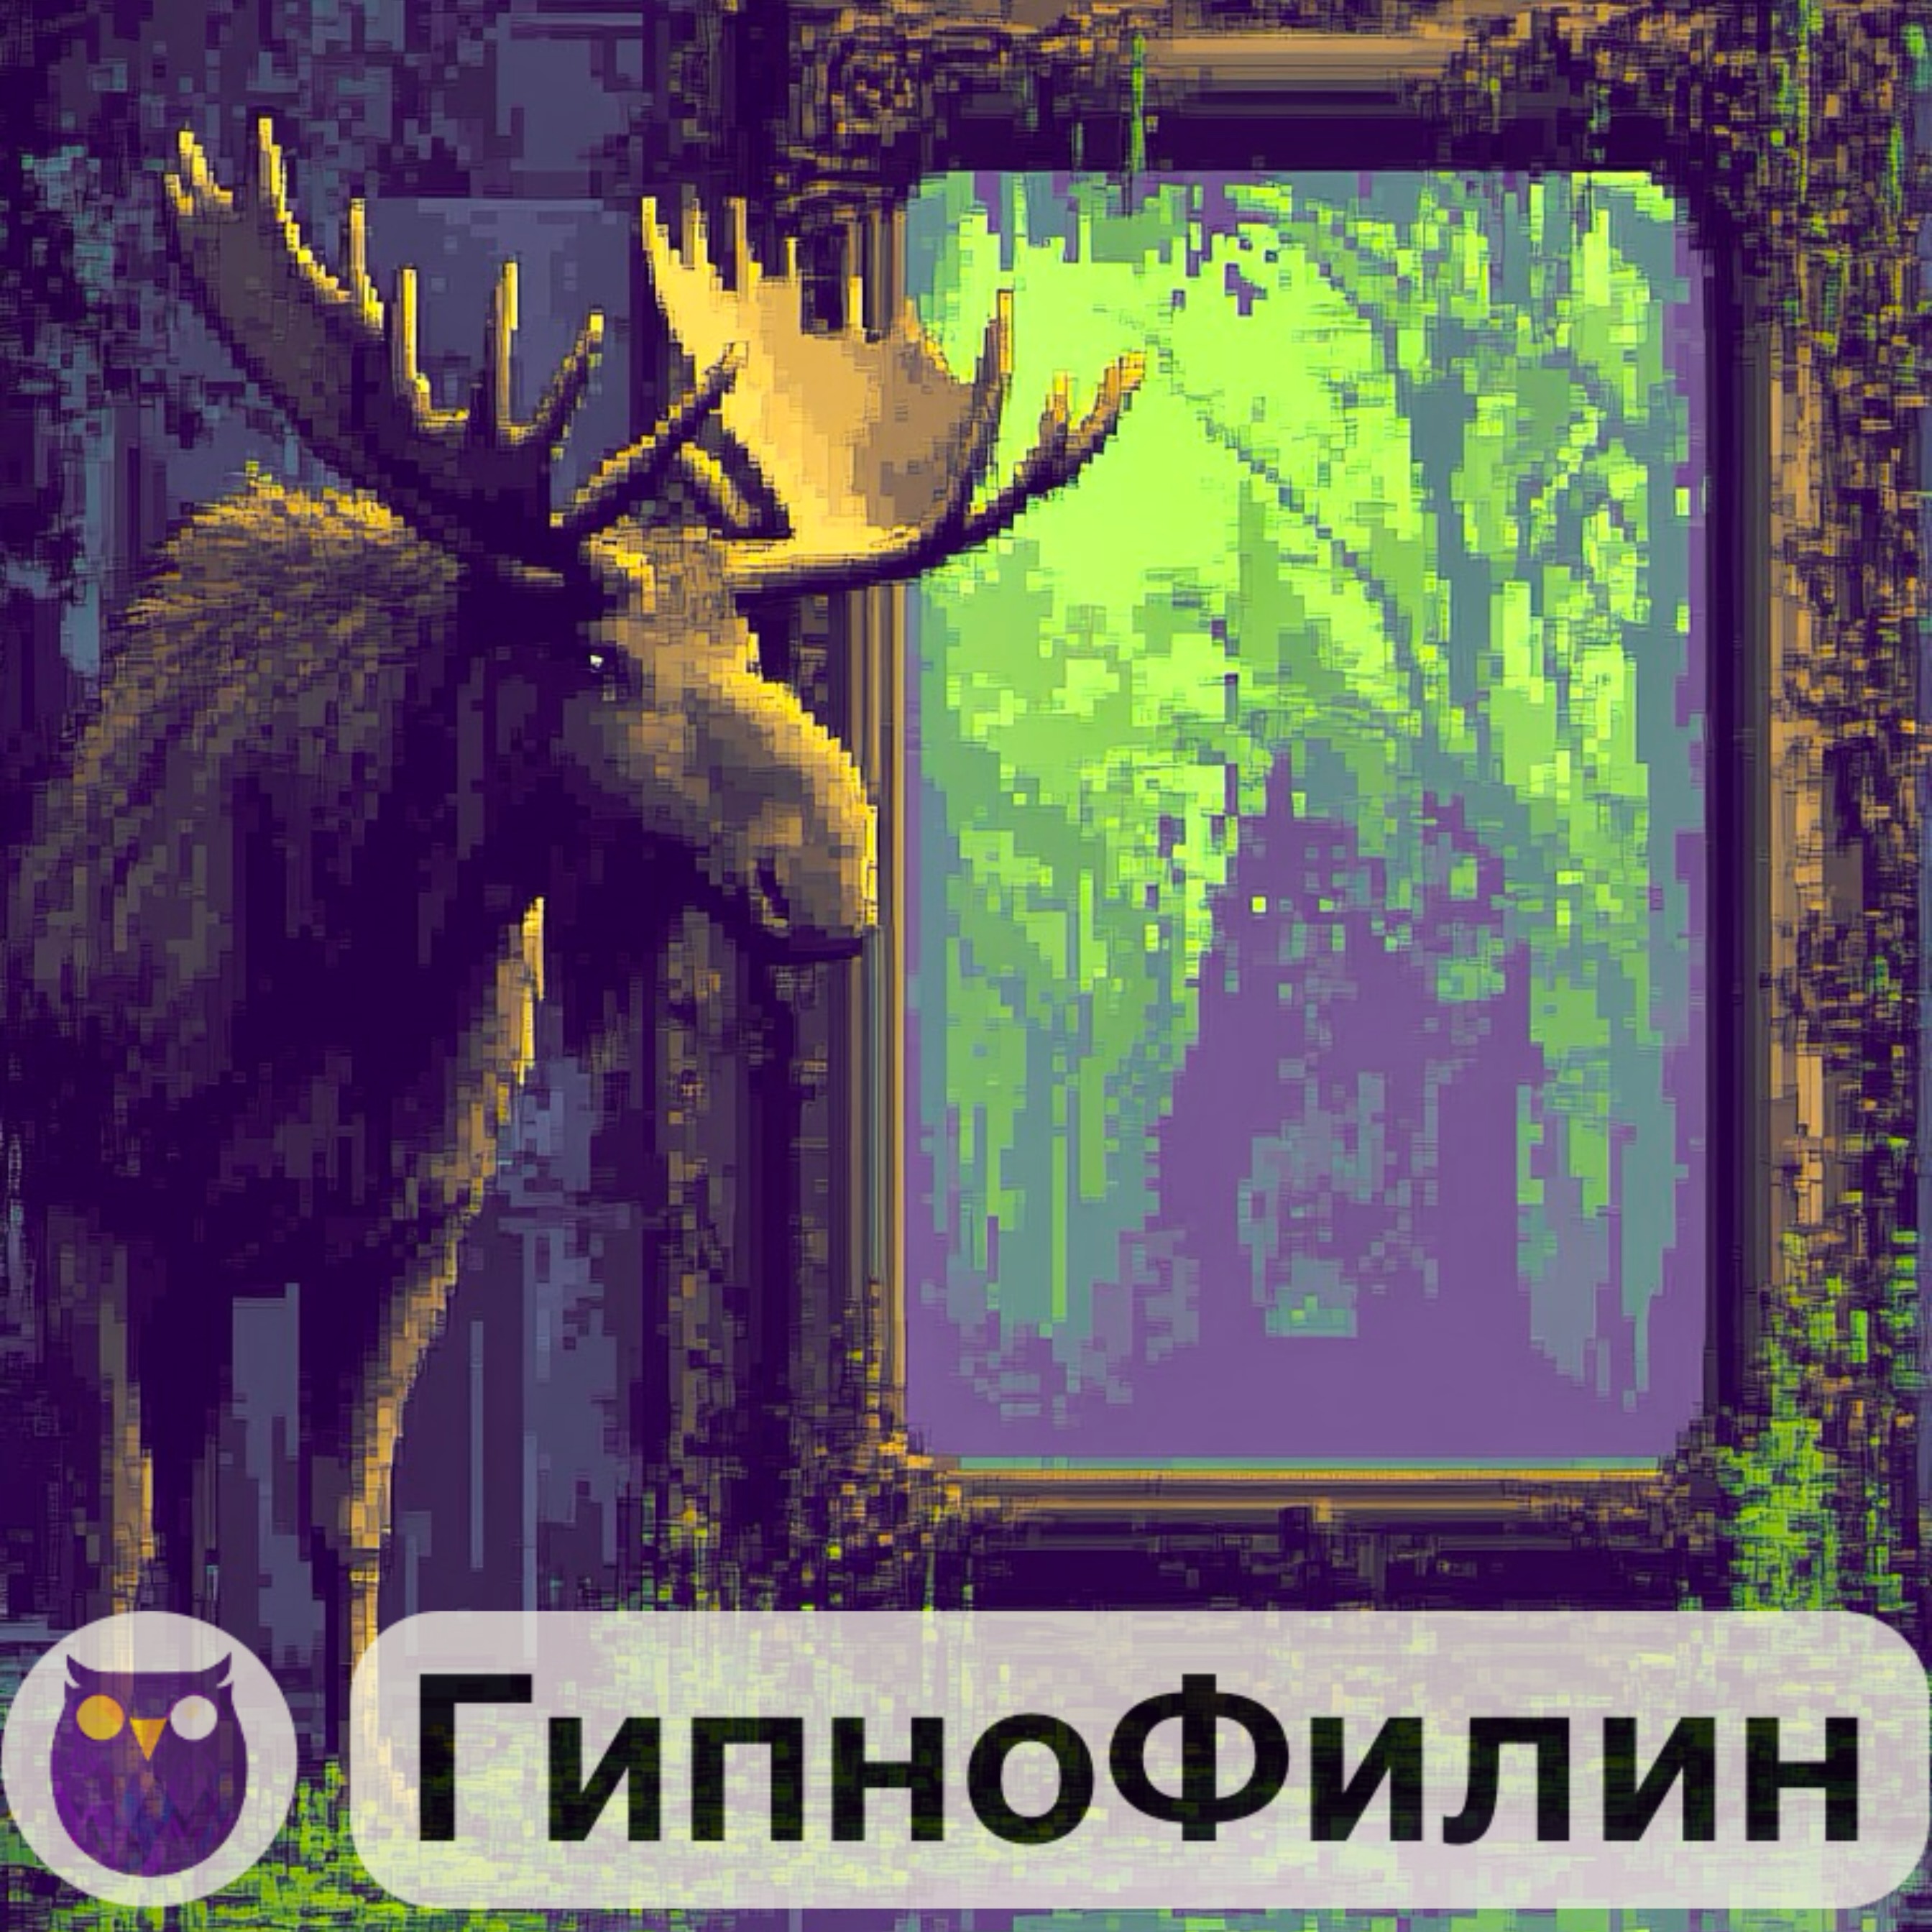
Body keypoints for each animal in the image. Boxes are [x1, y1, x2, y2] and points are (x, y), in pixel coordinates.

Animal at [1, 118, 1143, 1756]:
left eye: (748, 642)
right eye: (592, 656)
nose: (831, 871)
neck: (340, 984)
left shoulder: (416, 1223)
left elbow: (347, 1516)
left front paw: (363, 1785)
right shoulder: (85, 1192)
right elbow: (116, 1523)